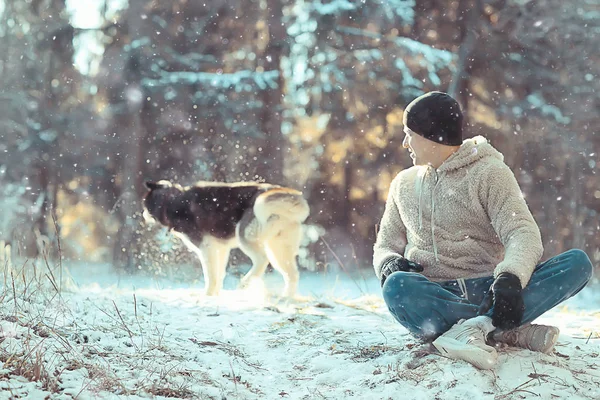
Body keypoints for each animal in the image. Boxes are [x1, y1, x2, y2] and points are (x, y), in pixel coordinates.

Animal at [142, 180, 308, 296]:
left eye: (145, 205)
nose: (143, 215)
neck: (172, 202)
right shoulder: (220, 248)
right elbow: (219, 275)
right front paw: (215, 295)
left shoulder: (206, 248)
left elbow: (210, 275)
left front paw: (207, 295)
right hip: (279, 249)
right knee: (292, 275)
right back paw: (285, 300)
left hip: (245, 236)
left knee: (262, 260)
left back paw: (244, 284)